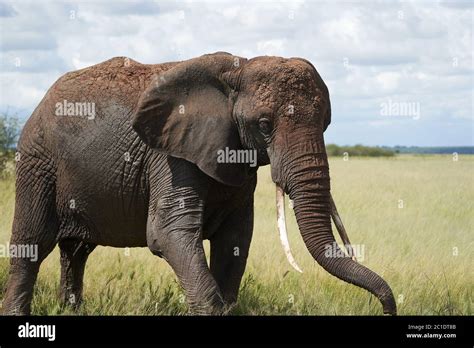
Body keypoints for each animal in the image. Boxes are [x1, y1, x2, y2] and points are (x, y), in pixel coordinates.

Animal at [1, 51, 396, 316]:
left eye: (326, 123)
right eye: (264, 125)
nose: (386, 307)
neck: (238, 69)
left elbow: (235, 240)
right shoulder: (169, 156)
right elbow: (168, 234)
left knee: (76, 251)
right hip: (38, 160)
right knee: (33, 243)